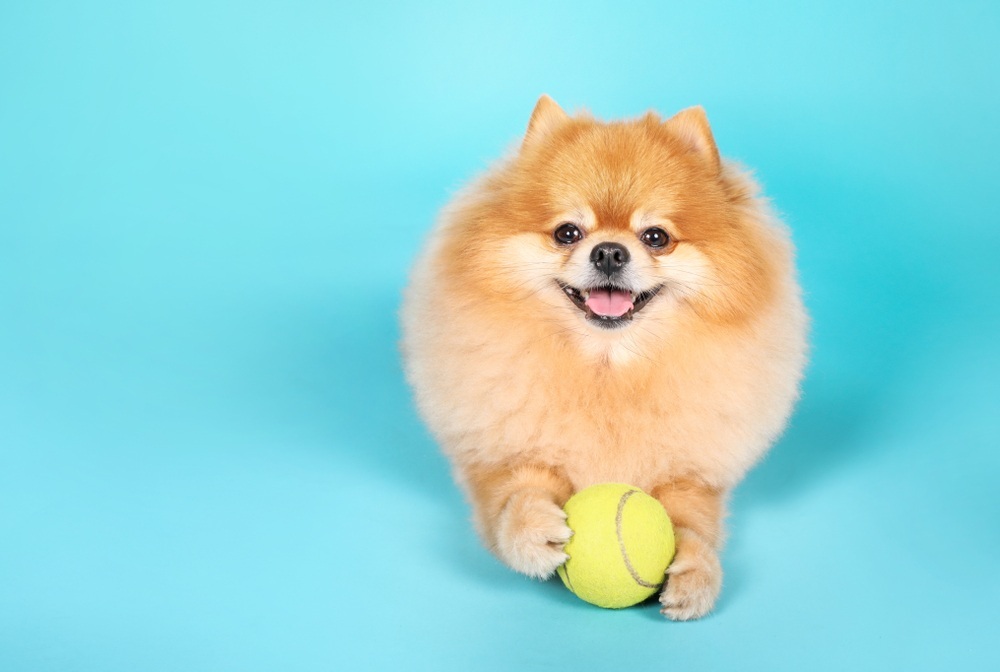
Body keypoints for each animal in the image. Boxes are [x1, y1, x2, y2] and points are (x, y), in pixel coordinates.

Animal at [402, 94, 808, 620]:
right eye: (567, 232)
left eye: (656, 237)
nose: (610, 252)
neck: (605, 370)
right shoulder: (504, 453)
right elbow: (515, 492)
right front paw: (532, 530)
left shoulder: (689, 477)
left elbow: (695, 523)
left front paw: (697, 572)